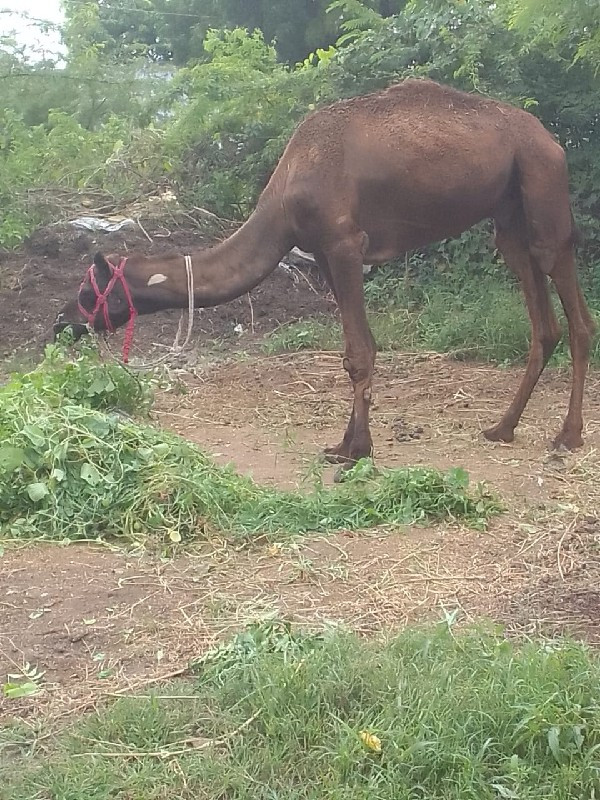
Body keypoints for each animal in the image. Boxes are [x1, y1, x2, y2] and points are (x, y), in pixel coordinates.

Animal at [55, 79, 596, 462]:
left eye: (87, 291)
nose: (62, 322)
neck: (285, 196)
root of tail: (552, 140)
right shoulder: (322, 254)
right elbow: (351, 350)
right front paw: (345, 444)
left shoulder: (345, 244)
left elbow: (360, 351)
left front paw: (356, 451)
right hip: (508, 215)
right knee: (540, 314)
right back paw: (502, 429)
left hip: (542, 184)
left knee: (573, 306)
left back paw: (567, 436)